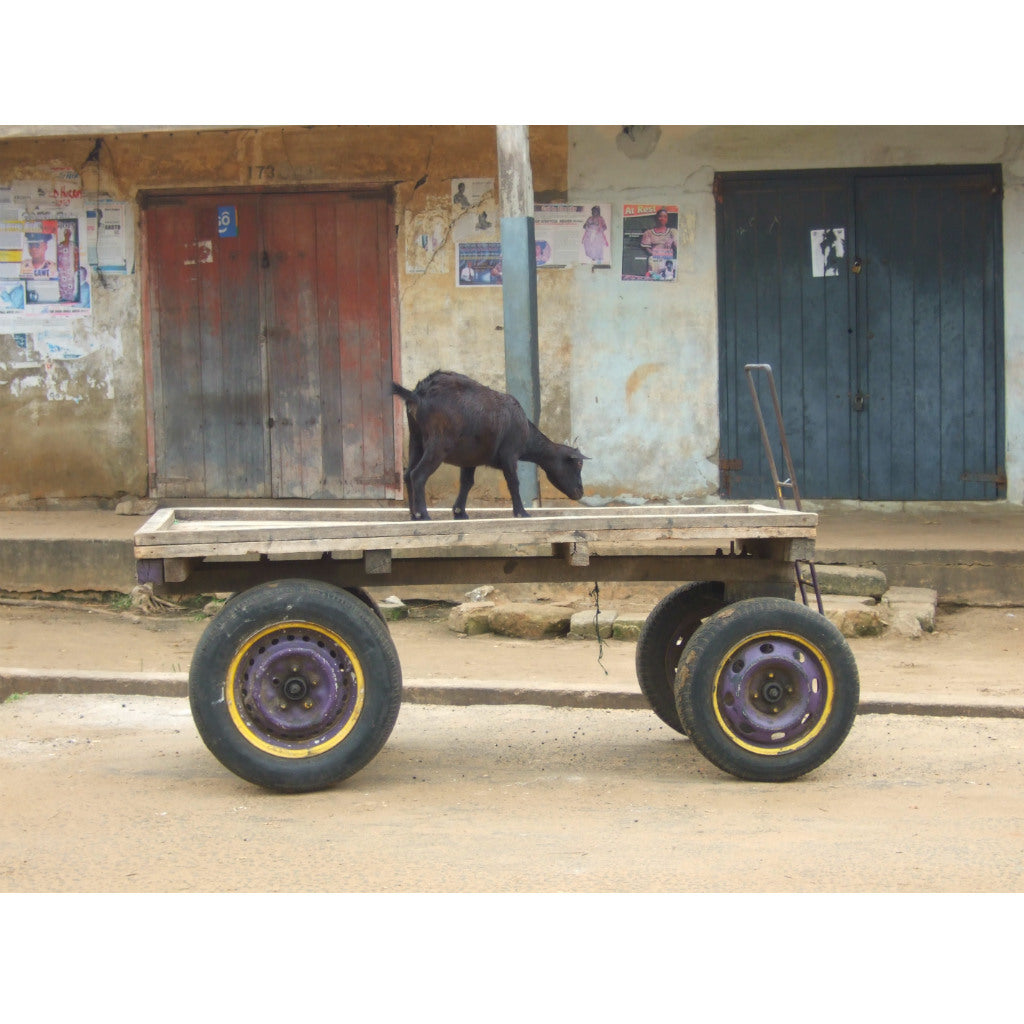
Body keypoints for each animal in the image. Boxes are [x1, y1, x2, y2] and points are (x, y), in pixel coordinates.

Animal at [389, 368, 585, 520]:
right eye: (577, 463)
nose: (580, 492)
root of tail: (417, 395)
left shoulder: (470, 459)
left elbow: (467, 482)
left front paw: (460, 512)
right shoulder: (509, 454)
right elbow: (513, 482)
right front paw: (521, 512)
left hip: (416, 440)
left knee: (407, 474)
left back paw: (413, 515)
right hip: (438, 444)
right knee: (418, 474)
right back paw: (423, 514)